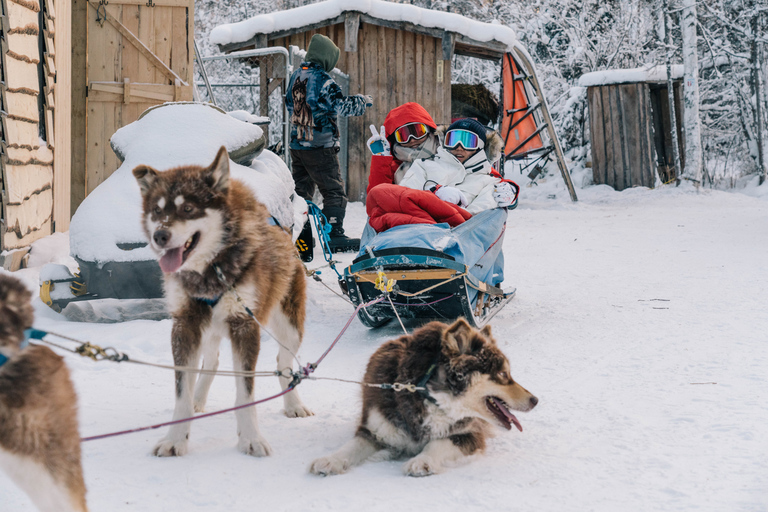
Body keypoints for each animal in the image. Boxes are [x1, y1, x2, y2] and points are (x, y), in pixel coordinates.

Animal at [133, 145, 312, 456]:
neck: (210, 270)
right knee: (212, 362)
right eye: (157, 210)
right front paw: (176, 438)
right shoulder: (185, 325)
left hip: (289, 328)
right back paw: (198, 399)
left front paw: (251, 438)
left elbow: (245, 394)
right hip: (208, 328)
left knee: (284, 363)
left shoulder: (244, 325)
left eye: (188, 208)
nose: (160, 235)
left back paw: (293, 404)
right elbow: (182, 391)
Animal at [308, 318, 536, 478]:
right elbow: (352, 446)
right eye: (503, 374)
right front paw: (331, 459)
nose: (535, 400)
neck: (430, 395)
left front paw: (422, 460)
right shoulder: (376, 429)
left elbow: (438, 444)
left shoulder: (471, 433)